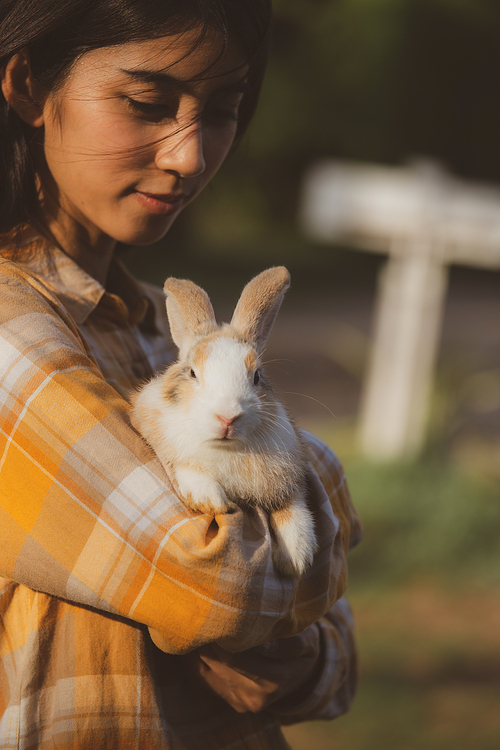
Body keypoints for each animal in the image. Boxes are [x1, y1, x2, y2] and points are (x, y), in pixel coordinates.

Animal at [129, 268, 316, 580]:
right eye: (192, 373)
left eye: (257, 376)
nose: (227, 416)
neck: (226, 450)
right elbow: (189, 467)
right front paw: (211, 500)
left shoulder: (288, 480)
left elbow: (293, 507)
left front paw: (298, 555)